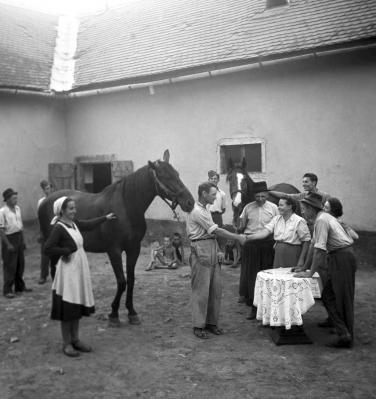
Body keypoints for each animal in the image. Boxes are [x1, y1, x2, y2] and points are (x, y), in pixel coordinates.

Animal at [39, 152, 194, 326]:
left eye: (177, 174)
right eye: (165, 176)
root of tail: (46, 201)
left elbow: (131, 280)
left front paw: (132, 312)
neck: (126, 207)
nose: (190, 202)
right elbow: (121, 281)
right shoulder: (114, 251)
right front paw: (113, 313)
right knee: (53, 271)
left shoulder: (134, 249)